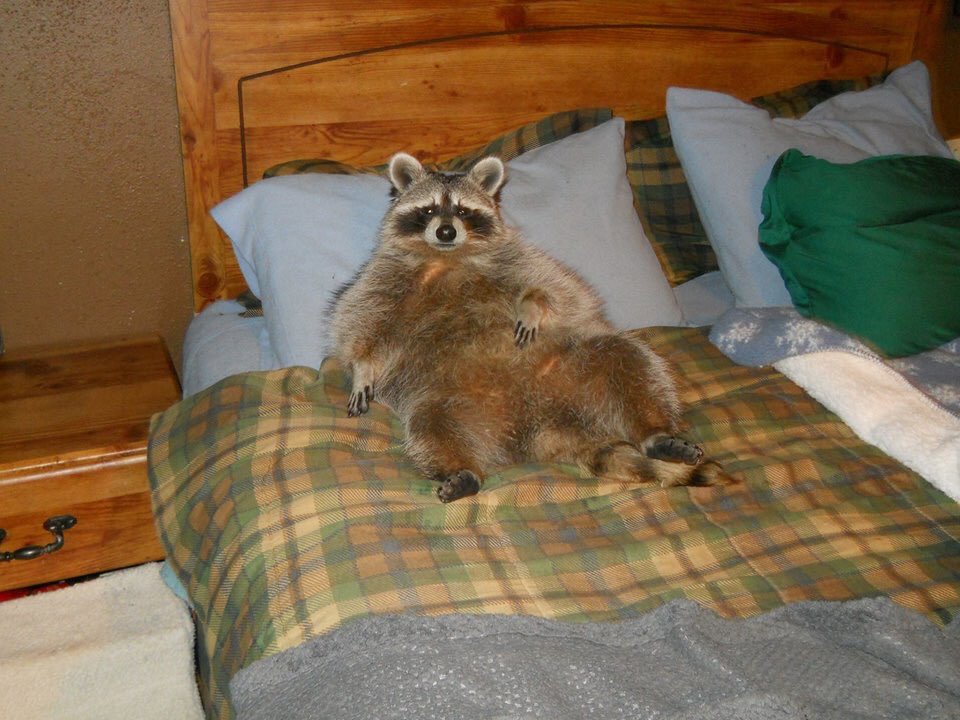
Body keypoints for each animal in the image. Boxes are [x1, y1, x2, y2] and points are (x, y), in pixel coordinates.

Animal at [329, 152, 729, 502]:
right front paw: (363, 368)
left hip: (575, 368)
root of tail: (546, 428)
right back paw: (461, 470)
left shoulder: (516, 258)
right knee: (431, 426)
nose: (445, 231)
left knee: (629, 359)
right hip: (451, 400)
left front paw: (532, 305)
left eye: (462, 210)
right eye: (428, 209)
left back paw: (654, 431)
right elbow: (357, 323)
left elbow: (557, 287)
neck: (446, 258)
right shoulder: (382, 278)